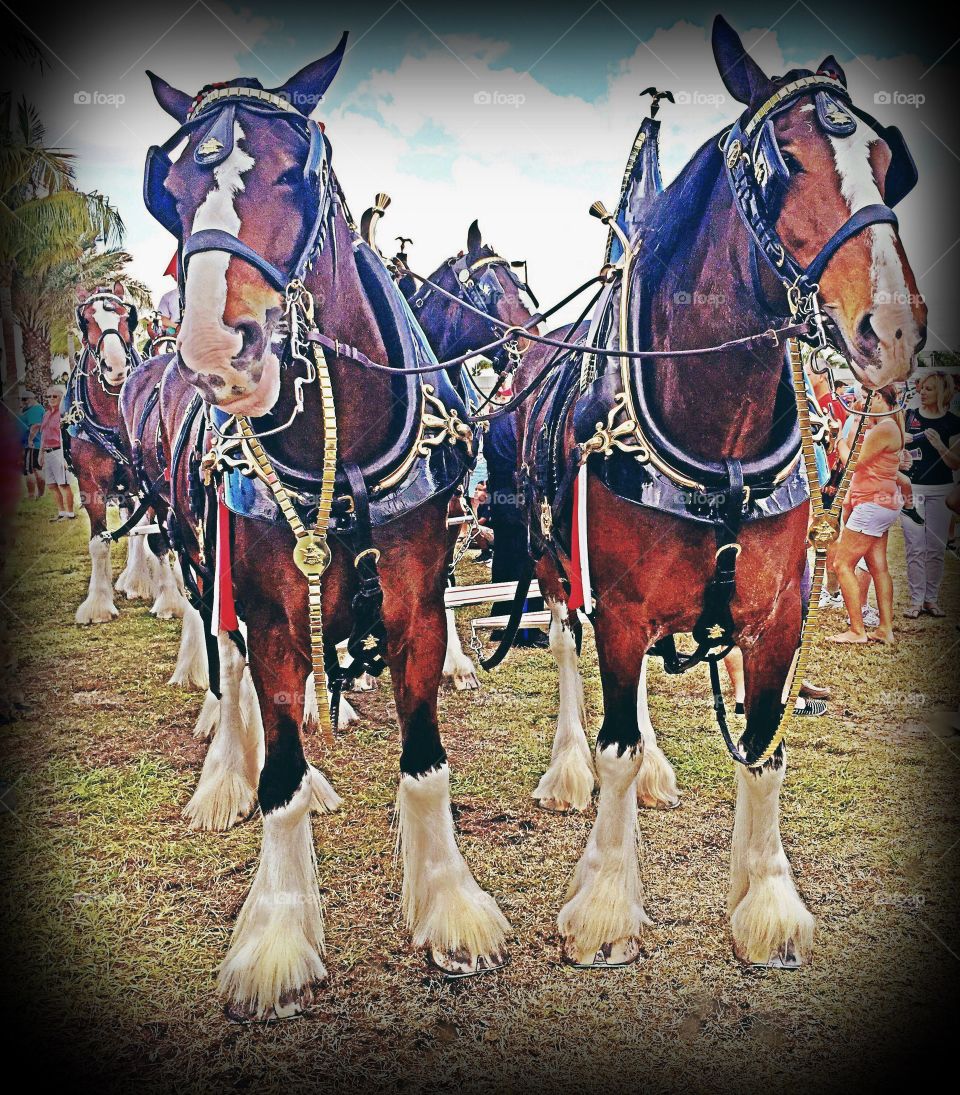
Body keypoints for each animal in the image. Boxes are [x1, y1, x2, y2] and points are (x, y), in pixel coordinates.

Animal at [143, 29, 510, 1016]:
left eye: (298, 171)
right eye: (169, 189)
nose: (217, 351)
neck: (337, 451)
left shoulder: (417, 595)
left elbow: (425, 756)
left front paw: (448, 909)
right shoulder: (271, 610)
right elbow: (277, 773)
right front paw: (276, 936)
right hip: (204, 566)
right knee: (232, 676)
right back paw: (231, 769)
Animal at [521, 10, 923, 967]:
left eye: (886, 159)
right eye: (784, 159)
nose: (892, 328)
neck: (722, 441)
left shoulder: (777, 611)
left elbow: (765, 745)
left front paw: (766, 901)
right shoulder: (620, 603)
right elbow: (617, 747)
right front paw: (605, 906)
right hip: (555, 566)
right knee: (565, 651)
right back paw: (567, 771)